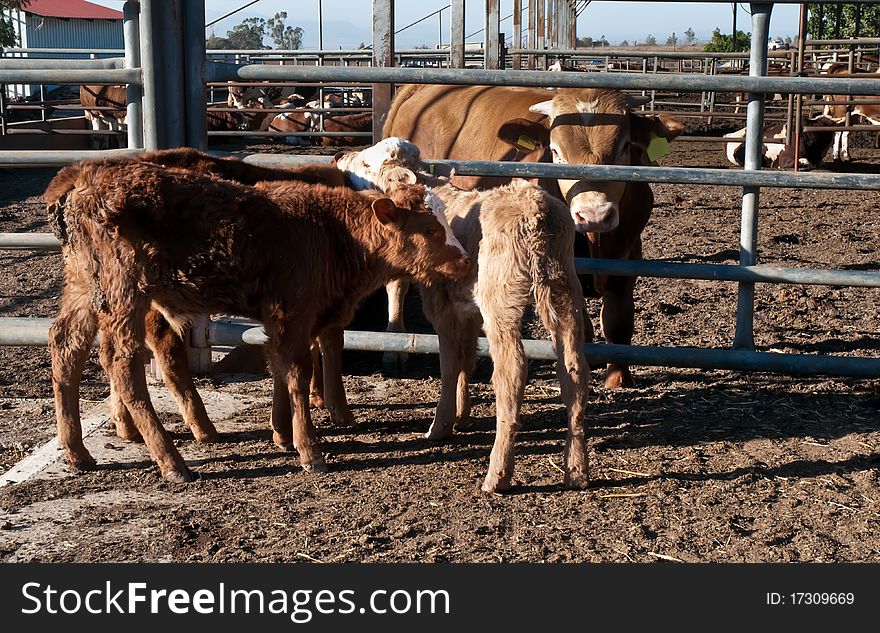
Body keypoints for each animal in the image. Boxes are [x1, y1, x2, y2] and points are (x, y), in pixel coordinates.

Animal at [44, 160, 470, 482]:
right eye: (430, 229)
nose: (465, 260)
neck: (331, 231)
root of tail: (81, 180)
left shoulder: (287, 319)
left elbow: (279, 366)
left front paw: (281, 433)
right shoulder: (292, 313)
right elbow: (297, 372)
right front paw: (308, 449)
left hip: (85, 286)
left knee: (67, 346)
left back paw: (78, 452)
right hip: (126, 293)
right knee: (122, 364)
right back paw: (172, 462)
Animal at [382, 85, 684, 386]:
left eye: (625, 147)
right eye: (556, 152)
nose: (594, 214)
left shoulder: (628, 254)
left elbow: (617, 319)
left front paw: (618, 375)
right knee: (397, 284)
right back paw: (396, 347)